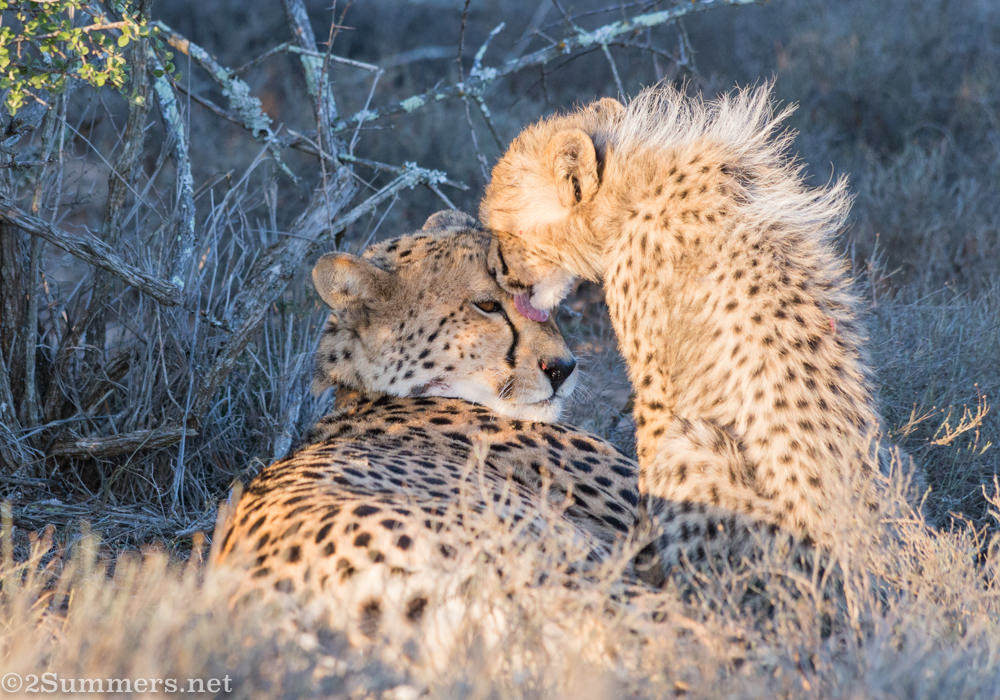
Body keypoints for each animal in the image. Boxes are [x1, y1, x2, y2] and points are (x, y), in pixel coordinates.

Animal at [479, 83, 896, 586]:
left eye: (504, 231)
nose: (497, 274)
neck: (633, 188)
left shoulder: (658, 387)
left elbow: (650, 469)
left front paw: (641, 558)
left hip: (699, 446)